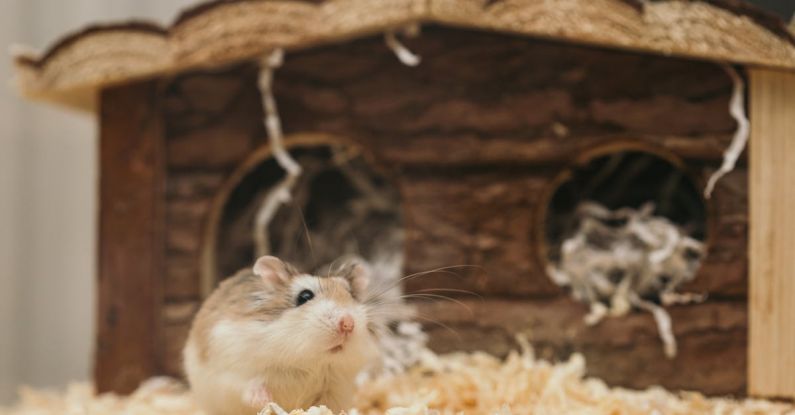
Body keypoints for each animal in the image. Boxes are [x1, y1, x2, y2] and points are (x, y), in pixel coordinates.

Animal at [187, 255, 386, 414]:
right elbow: (249, 386)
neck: (308, 361)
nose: (348, 323)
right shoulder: (234, 371)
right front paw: (266, 401)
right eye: (305, 296)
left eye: (351, 295)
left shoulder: (335, 389)